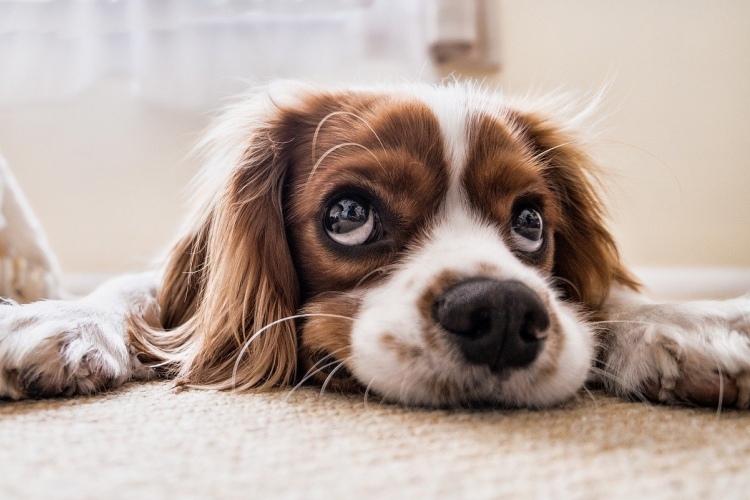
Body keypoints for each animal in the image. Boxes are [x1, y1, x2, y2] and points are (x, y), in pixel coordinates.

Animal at [1, 83, 750, 410]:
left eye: (532, 221)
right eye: (349, 215)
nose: (504, 313)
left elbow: (609, 298)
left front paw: (691, 326)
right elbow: (135, 292)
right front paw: (56, 320)